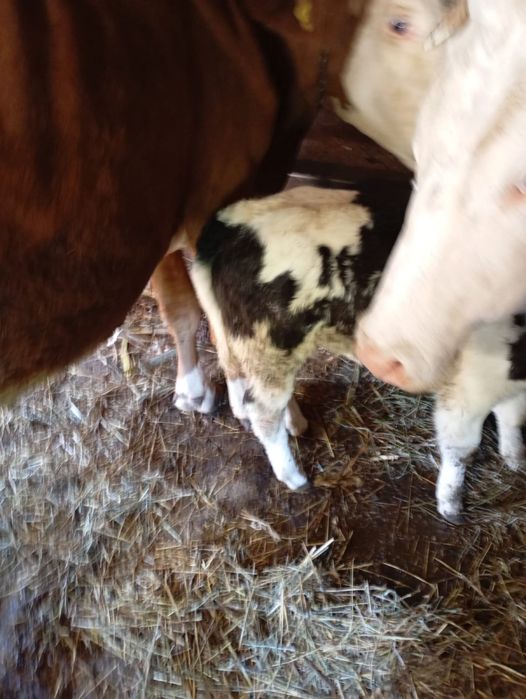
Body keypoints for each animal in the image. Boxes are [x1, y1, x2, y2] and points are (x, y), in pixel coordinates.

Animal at [190, 186, 526, 522]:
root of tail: (235, 220)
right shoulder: (470, 385)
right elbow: (462, 448)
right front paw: (451, 503)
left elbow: (512, 415)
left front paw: (515, 456)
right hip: (268, 345)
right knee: (263, 412)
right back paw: (293, 476)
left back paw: (294, 421)